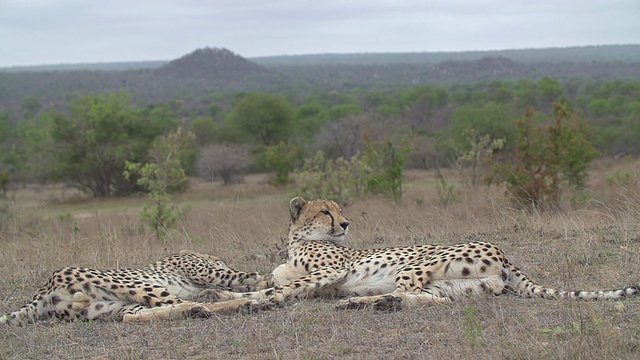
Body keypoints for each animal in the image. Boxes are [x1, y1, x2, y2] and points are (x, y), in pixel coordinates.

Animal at [0, 249, 270, 324]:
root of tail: (45, 287)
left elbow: (220, 291)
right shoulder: (208, 271)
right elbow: (245, 277)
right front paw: (265, 286)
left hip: (111, 306)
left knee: (133, 316)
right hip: (138, 285)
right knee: (182, 302)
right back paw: (249, 303)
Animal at [205, 195, 640, 310]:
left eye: (339, 210)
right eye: (326, 212)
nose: (345, 224)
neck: (297, 238)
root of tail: (504, 252)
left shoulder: (329, 274)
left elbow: (278, 289)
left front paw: (228, 296)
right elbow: (271, 283)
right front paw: (223, 292)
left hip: (418, 264)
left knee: (407, 290)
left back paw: (360, 302)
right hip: (459, 285)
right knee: (435, 300)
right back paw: (373, 303)